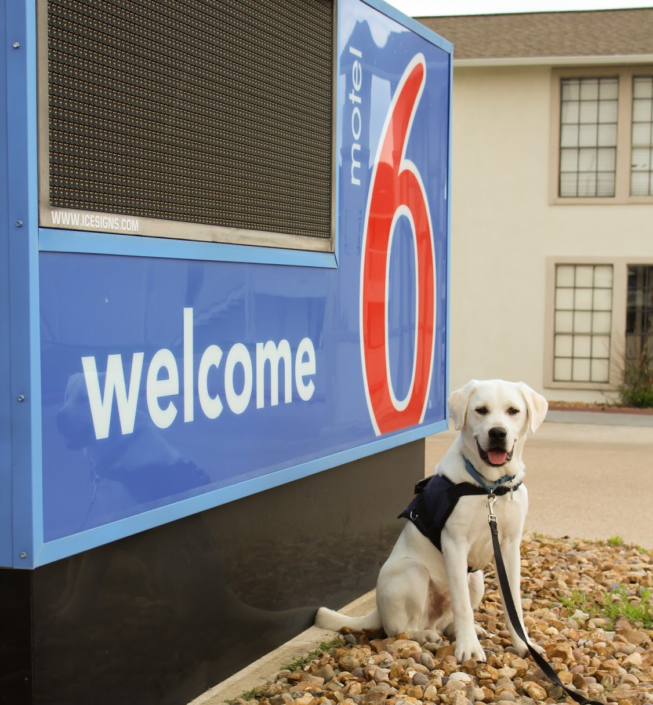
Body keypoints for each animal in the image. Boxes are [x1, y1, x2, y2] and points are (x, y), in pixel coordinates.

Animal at [314, 380, 544, 660]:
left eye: (513, 411)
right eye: (481, 410)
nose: (498, 433)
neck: (488, 486)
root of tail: (377, 609)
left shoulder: (509, 546)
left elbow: (514, 607)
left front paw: (524, 645)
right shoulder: (455, 544)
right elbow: (462, 606)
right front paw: (469, 650)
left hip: (476, 579)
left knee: (446, 622)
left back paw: (467, 630)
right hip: (414, 572)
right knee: (400, 630)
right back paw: (424, 635)